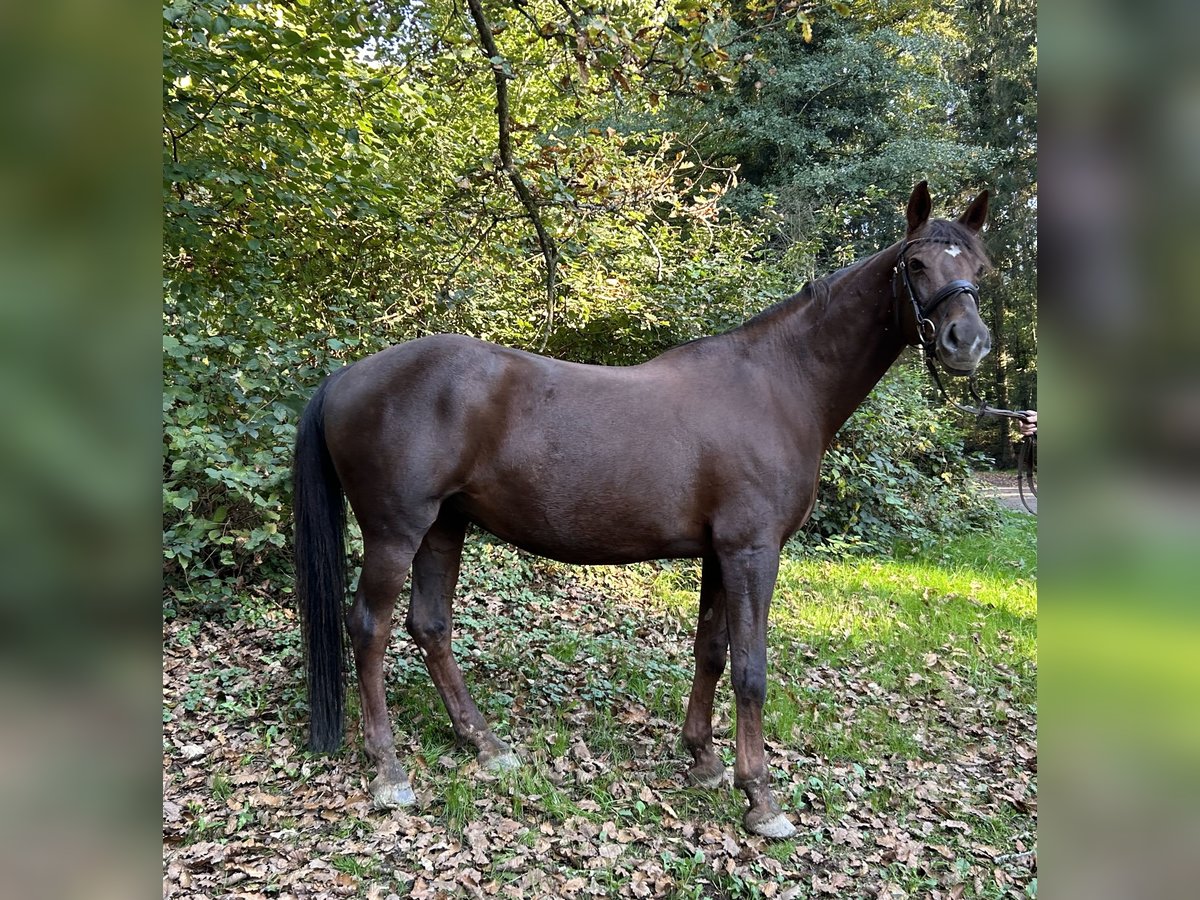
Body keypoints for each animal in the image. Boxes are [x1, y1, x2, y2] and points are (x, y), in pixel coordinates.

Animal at [292, 181, 993, 838]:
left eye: (981, 269)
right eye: (916, 263)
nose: (967, 342)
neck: (777, 384)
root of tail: (345, 375)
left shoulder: (719, 554)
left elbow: (711, 651)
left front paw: (704, 761)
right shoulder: (752, 551)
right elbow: (750, 668)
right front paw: (760, 798)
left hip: (445, 526)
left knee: (430, 626)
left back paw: (484, 744)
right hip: (395, 532)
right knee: (370, 629)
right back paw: (389, 769)